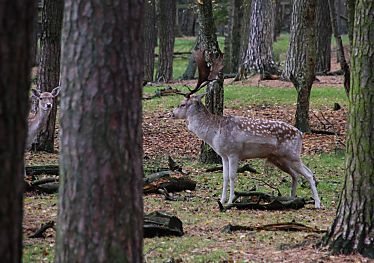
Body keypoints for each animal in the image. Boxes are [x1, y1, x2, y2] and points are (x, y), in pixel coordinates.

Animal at [172, 50, 322, 209]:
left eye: (182, 104)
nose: (172, 113)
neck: (214, 134)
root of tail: (300, 133)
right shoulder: (223, 155)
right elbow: (224, 177)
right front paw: (222, 200)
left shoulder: (234, 152)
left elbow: (232, 176)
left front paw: (230, 201)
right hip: (279, 157)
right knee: (295, 175)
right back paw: (291, 198)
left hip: (292, 153)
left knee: (309, 173)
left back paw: (317, 203)